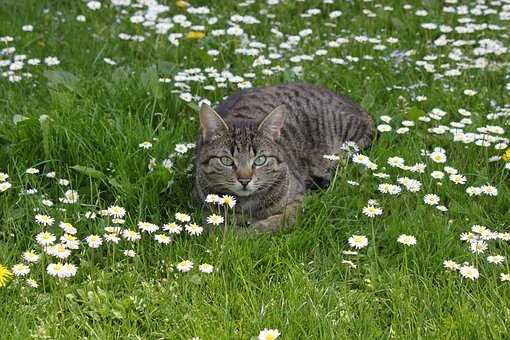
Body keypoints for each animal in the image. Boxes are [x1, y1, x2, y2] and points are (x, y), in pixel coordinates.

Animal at [193, 82, 372, 232]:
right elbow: (218, 226)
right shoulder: (205, 208)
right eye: (226, 160)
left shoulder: (297, 199)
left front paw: (252, 231)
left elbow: (277, 222)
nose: (244, 180)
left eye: (260, 160)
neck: (247, 205)